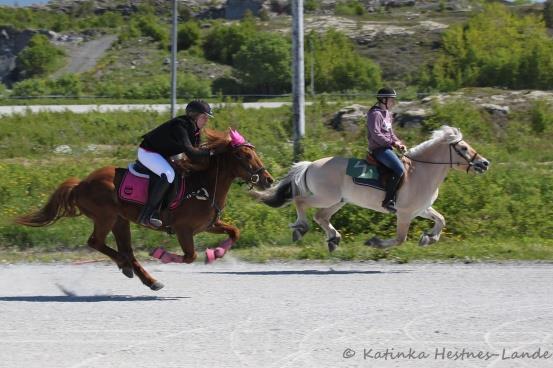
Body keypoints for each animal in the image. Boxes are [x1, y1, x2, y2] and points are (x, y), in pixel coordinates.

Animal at [16, 129, 274, 290]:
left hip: (120, 220)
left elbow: (234, 232)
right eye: (244, 155)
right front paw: (162, 254)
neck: (203, 185)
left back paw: (145, 278)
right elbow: (189, 256)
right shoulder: (184, 230)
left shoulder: (208, 225)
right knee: (96, 242)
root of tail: (81, 184)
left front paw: (216, 253)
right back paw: (127, 265)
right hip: (106, 217)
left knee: (125, 250)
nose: (268, 180)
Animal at [253, 126, 488, 250]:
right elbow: (400, 239)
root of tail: (310, 165)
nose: (484, 163)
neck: (421, 171)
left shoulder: (421, 209)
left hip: (338, 201)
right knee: (300, 202)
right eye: (463, 148)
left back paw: (334, 238)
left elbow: (441, 219)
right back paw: (301, 228)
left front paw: (428, 238)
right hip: (325, 197)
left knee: (321, 217)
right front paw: (375, 242)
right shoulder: (404, 213)